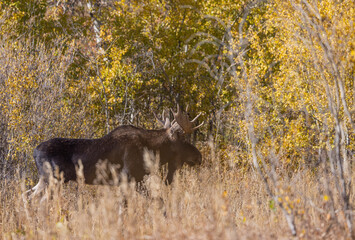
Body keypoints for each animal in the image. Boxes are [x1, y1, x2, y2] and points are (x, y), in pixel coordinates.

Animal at [24, 105, 203, 199]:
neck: (151, 150)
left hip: (46, 179)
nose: (199, 156)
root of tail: (34, 152)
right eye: (183, 140)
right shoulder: (129, 178)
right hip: (52, 179)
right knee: (36, 200)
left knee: (26, 195)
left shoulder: (134, 180)